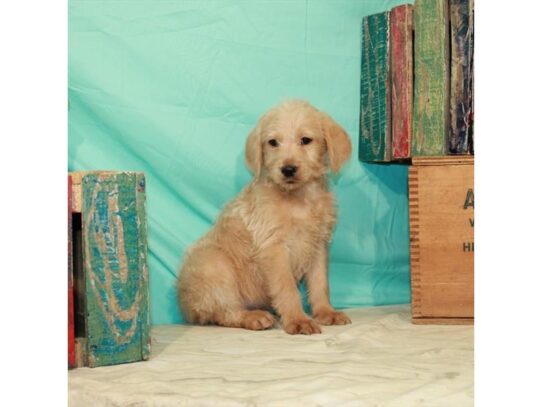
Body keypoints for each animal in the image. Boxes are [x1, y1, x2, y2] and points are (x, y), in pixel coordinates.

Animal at [178, 99, 352, 334]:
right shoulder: (274, 248)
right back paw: (253, 317)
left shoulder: (318, 246)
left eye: (305, 140)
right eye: (273, 142)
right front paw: (298, 319)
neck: (298, 198)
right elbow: (287, 288)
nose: (288, 169)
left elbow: (320, 284)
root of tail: (185, 307)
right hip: (214, 265)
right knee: (225, 311)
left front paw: (326, 312)